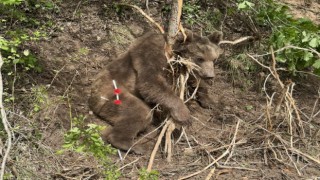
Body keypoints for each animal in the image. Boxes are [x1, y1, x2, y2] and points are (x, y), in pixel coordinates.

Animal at [89, 30, 221, 154]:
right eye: (200, 58)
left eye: (214, 59)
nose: (210, 76)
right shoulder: (151, 53)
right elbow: (150, 81)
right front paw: (184, 115)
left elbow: (193, 81)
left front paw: (209, 101)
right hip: (111, 93)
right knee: (140, 112)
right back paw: (131, 145)